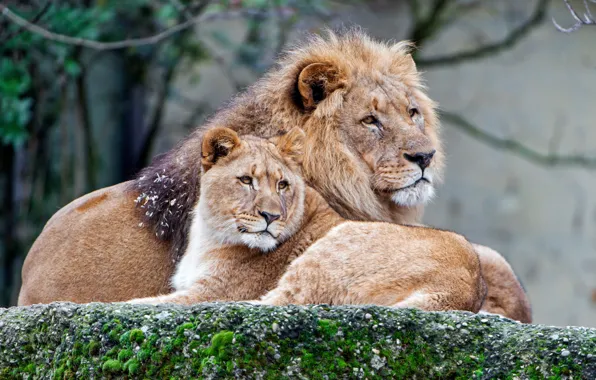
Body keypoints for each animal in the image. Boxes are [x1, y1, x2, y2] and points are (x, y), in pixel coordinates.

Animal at [129, 127, 484, 312]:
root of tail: (464, 288)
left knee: (273, 303)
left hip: (331, 249)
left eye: (282, 184)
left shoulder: (211, 293)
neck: (210, 233)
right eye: (246, 180)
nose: (270, 216)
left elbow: (144, 301)